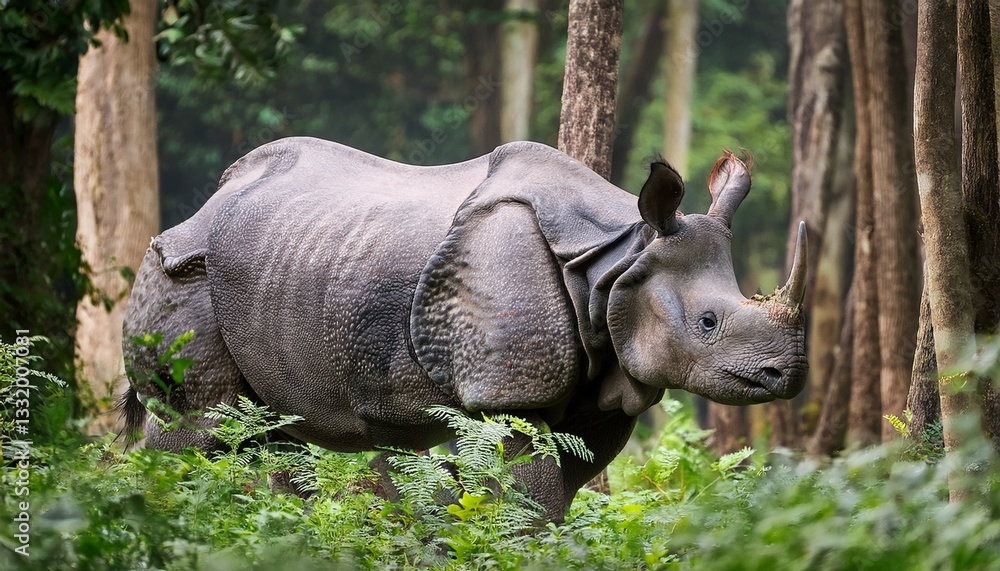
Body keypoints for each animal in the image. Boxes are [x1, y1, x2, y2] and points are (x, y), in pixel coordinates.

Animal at [121, 137, 807, 522]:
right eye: (708, 322)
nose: (788, 374)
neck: (616, 260)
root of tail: (202, 208)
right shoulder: (510, 393)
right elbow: (531, 498)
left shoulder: (598, 392)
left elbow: (557, 491)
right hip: (184, 270)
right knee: (204, 426)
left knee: (272, 434)